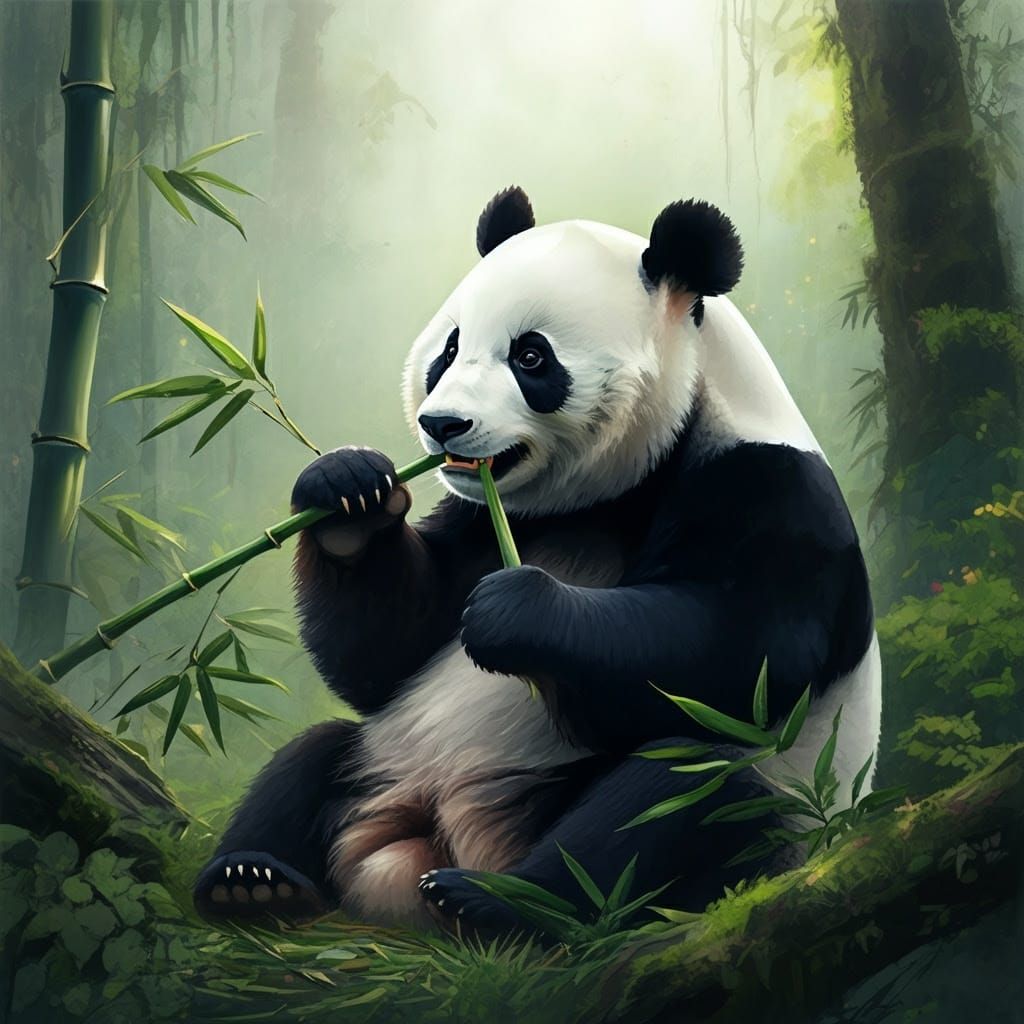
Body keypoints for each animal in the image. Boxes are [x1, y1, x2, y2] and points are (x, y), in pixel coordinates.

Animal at [194, 187, 881, 932]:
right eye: (449, 348)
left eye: (531, 357)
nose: (442, 425)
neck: (617, 493)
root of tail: (425, 841)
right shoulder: (492, 519)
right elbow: (384, 657)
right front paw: (348, 492)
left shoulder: (771, 491)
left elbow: (740, 650)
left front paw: (514, 610)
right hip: (379, 763)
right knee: (312, 754)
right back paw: (254, 879)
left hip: (762, 810)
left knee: (678, 797)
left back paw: (497, 901)